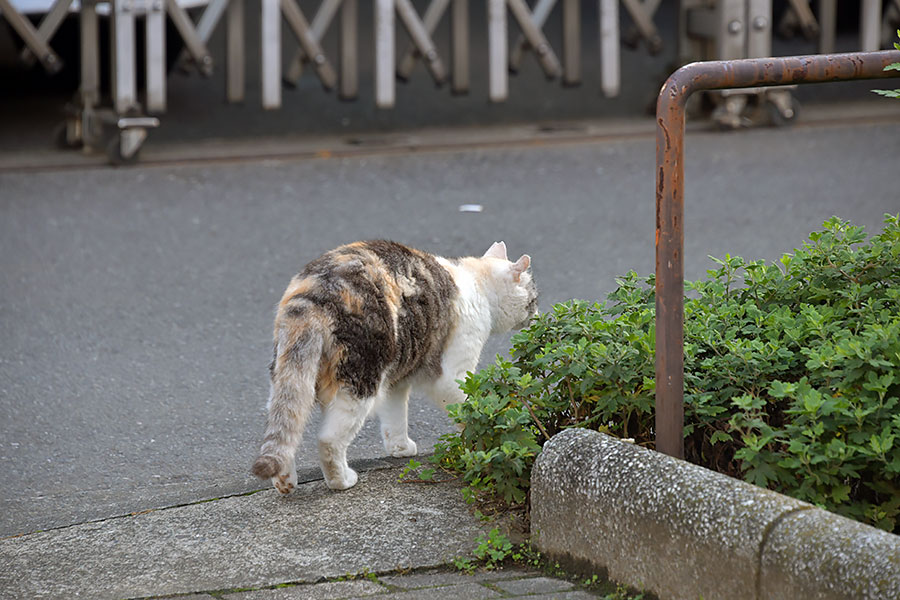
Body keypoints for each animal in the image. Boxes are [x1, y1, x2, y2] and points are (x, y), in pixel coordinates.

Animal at [250, 241, 536, 494]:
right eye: (533, 299)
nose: (536, 314)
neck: (476, 283)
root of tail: (312, 295)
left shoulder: (397, 382)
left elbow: (395, 418)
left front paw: (399, 448)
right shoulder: (451, 377)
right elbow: (472, 409)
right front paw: (485, 443)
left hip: (291, 379)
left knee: (286, 426)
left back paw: (285, 482)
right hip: (361, 383)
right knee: (328, 440)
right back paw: (341, 481)